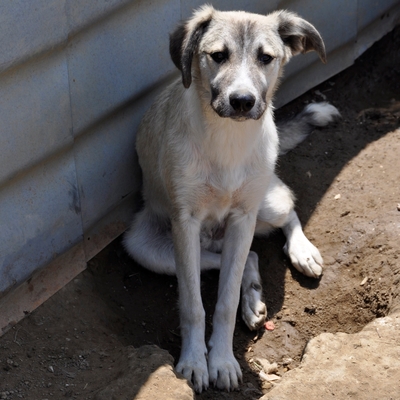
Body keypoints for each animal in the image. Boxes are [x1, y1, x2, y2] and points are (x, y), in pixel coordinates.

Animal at [124, 4, 338, 394]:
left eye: (266, 58)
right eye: (218, 55)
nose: (242, 101)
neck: (227, 140)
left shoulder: (243, 216)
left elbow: (223, 303)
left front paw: (222, 361)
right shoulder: (185, 223)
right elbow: (194, 304)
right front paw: (195, 362)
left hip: (265, 205)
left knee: (285, 213)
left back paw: (301, 253)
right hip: (147, 248)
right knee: (244, 256)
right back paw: (253, 298)